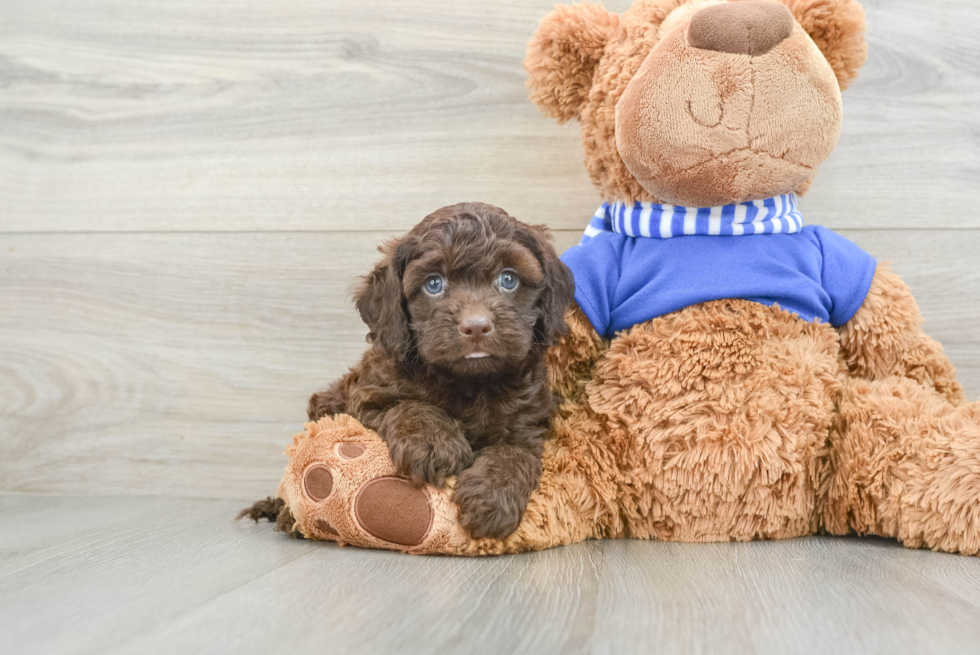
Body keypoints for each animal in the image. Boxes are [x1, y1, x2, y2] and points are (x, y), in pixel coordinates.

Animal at [298, 202, 580, 540]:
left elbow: (515, 453)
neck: (470, 382)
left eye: (509, 279)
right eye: (434, 283)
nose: (475, 326)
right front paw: (435, 445)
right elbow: (409, 406)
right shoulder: (367, 398)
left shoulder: (528, 423)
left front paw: (492, 497)